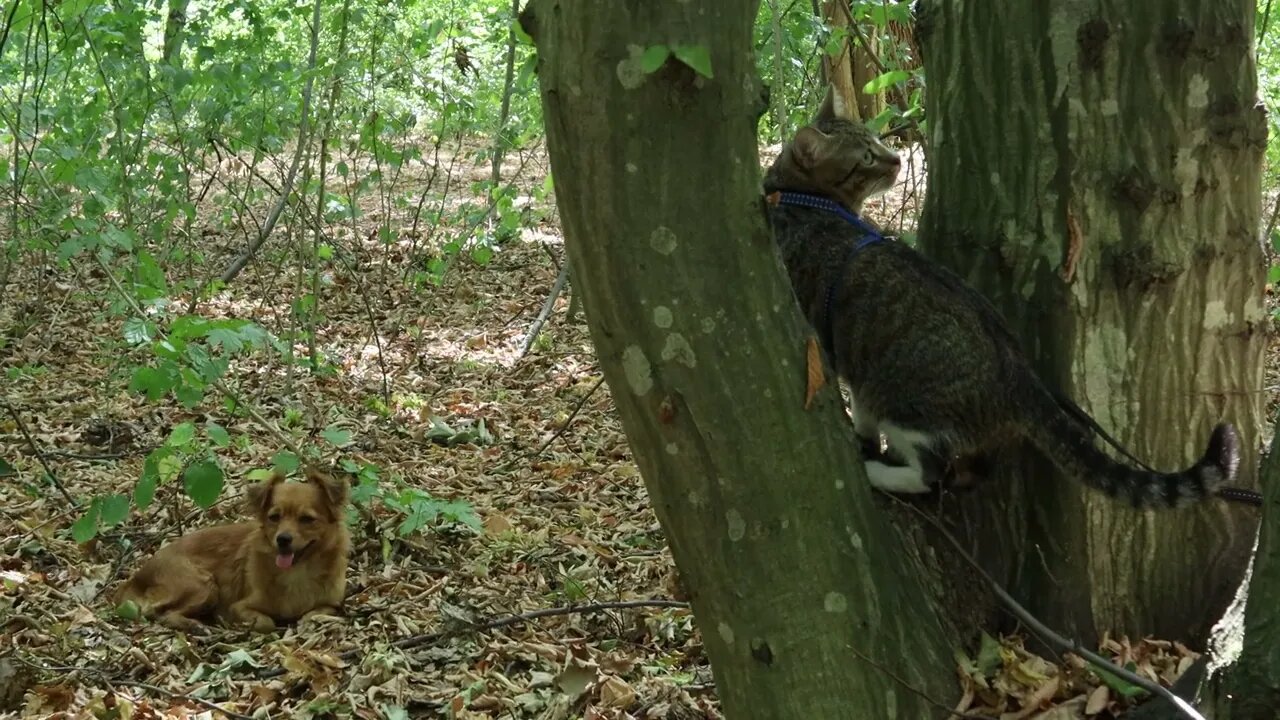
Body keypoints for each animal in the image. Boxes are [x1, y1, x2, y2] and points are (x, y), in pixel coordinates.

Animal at [115, 466, 353, 627]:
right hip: (203, 584)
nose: (282, 539)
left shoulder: (333, 603)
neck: (297, 572)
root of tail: (138, 576)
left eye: (306, 519)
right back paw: (196, 625)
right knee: (163, 615)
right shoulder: (239, 606)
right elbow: (266, 622)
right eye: (274, 517)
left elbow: (315, 613)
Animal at [757, 83, 1239, 504]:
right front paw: (862, 434)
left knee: (933, 475)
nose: (895, 160)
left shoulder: (828, 343)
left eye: (878, 143)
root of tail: (1018, 371)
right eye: (867, 157)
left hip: (903, 401)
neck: (800, 197)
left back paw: (876, 472)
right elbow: (861, 415)